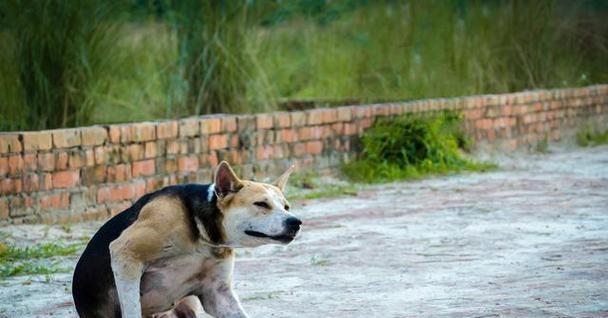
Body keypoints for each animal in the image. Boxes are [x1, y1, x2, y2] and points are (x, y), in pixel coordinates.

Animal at [73, 161, 302, 318]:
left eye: (286, 206)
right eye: (261, 204)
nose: (296, 222)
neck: (202, 234)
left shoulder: (216, 294)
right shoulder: (125, 255)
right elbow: (132, 308)